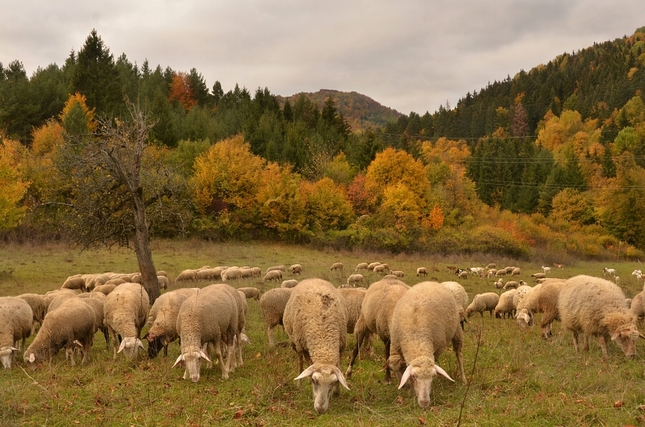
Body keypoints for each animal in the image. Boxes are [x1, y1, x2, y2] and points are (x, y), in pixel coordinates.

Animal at [284, 278, 350, 414]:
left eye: (332, 383)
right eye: (314, 381)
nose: (320, 409)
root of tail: (312, 278)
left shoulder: (340, 348)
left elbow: (339, 367)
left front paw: (337, 392)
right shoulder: (305, 348)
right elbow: (308, 366)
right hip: (297, 343)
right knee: (300, 362)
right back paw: (299, 384)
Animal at [384, 282, 466, 410]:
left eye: (433, 376)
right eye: (413, 376)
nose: (424, 403)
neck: (417, 341)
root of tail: (430, 282)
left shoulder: (437, 348)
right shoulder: (401, 351)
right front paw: (412, 391)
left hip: (457, 328)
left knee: (459, 354)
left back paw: (463, 379)